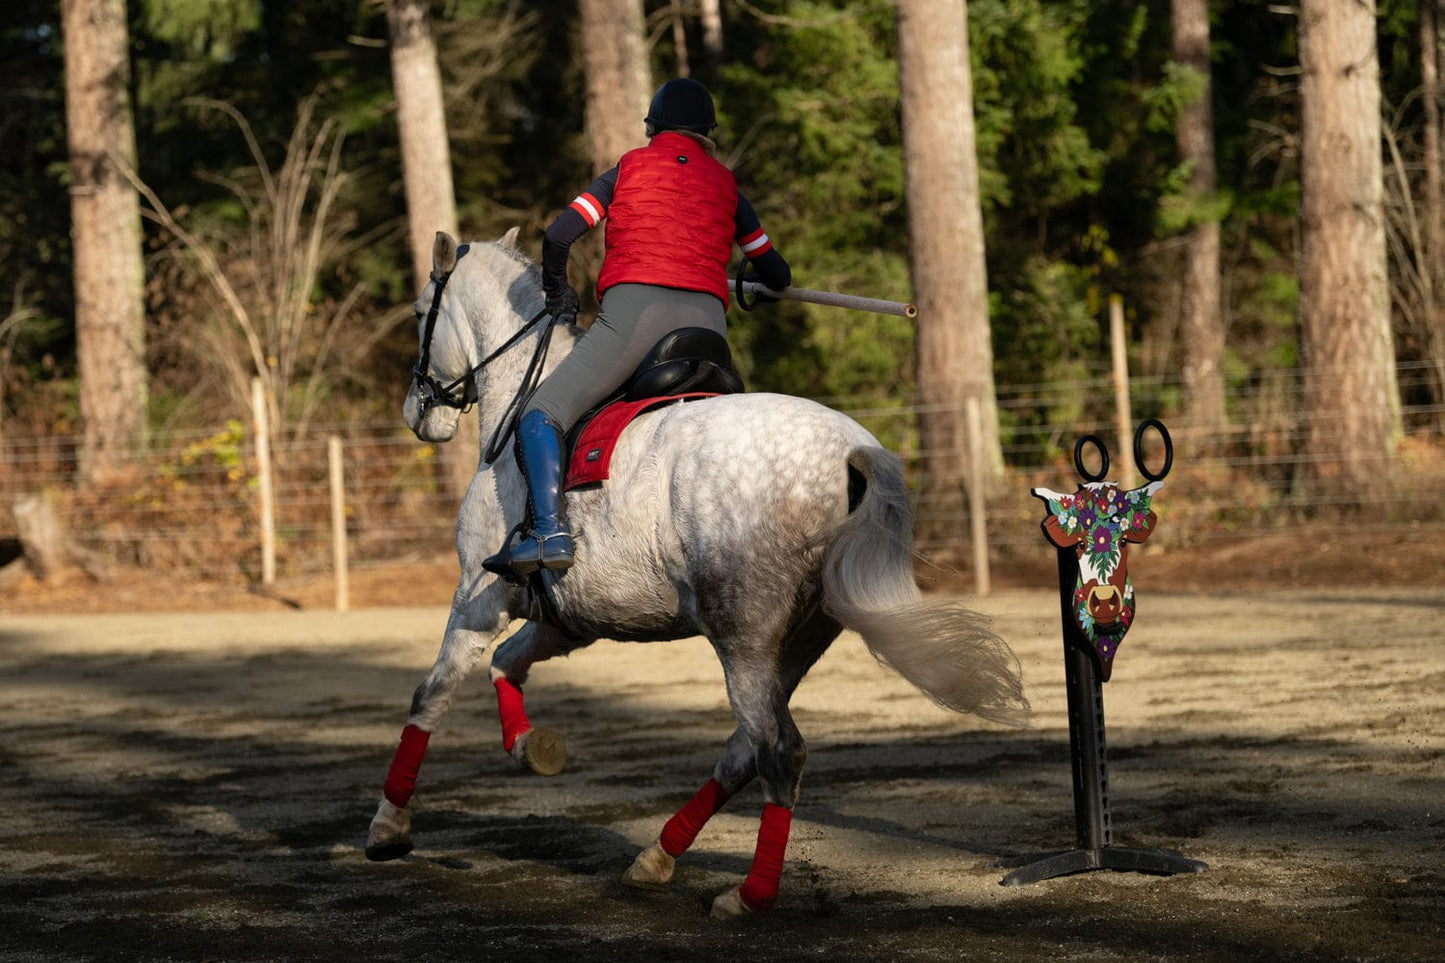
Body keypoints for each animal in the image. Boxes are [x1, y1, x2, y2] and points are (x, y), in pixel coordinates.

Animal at [369, 228, 1028, 919]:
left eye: (420, 312)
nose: (418, 412)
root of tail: (854, 449)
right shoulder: (568, 622)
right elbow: (506, 665)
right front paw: (529, 745)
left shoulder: (478, 599)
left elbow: (431, 694)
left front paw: (389, 828)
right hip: (800, 638)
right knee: (744, 750)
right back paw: (657, 858)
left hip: (742, 636)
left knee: (776, 750)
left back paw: (748, 895)